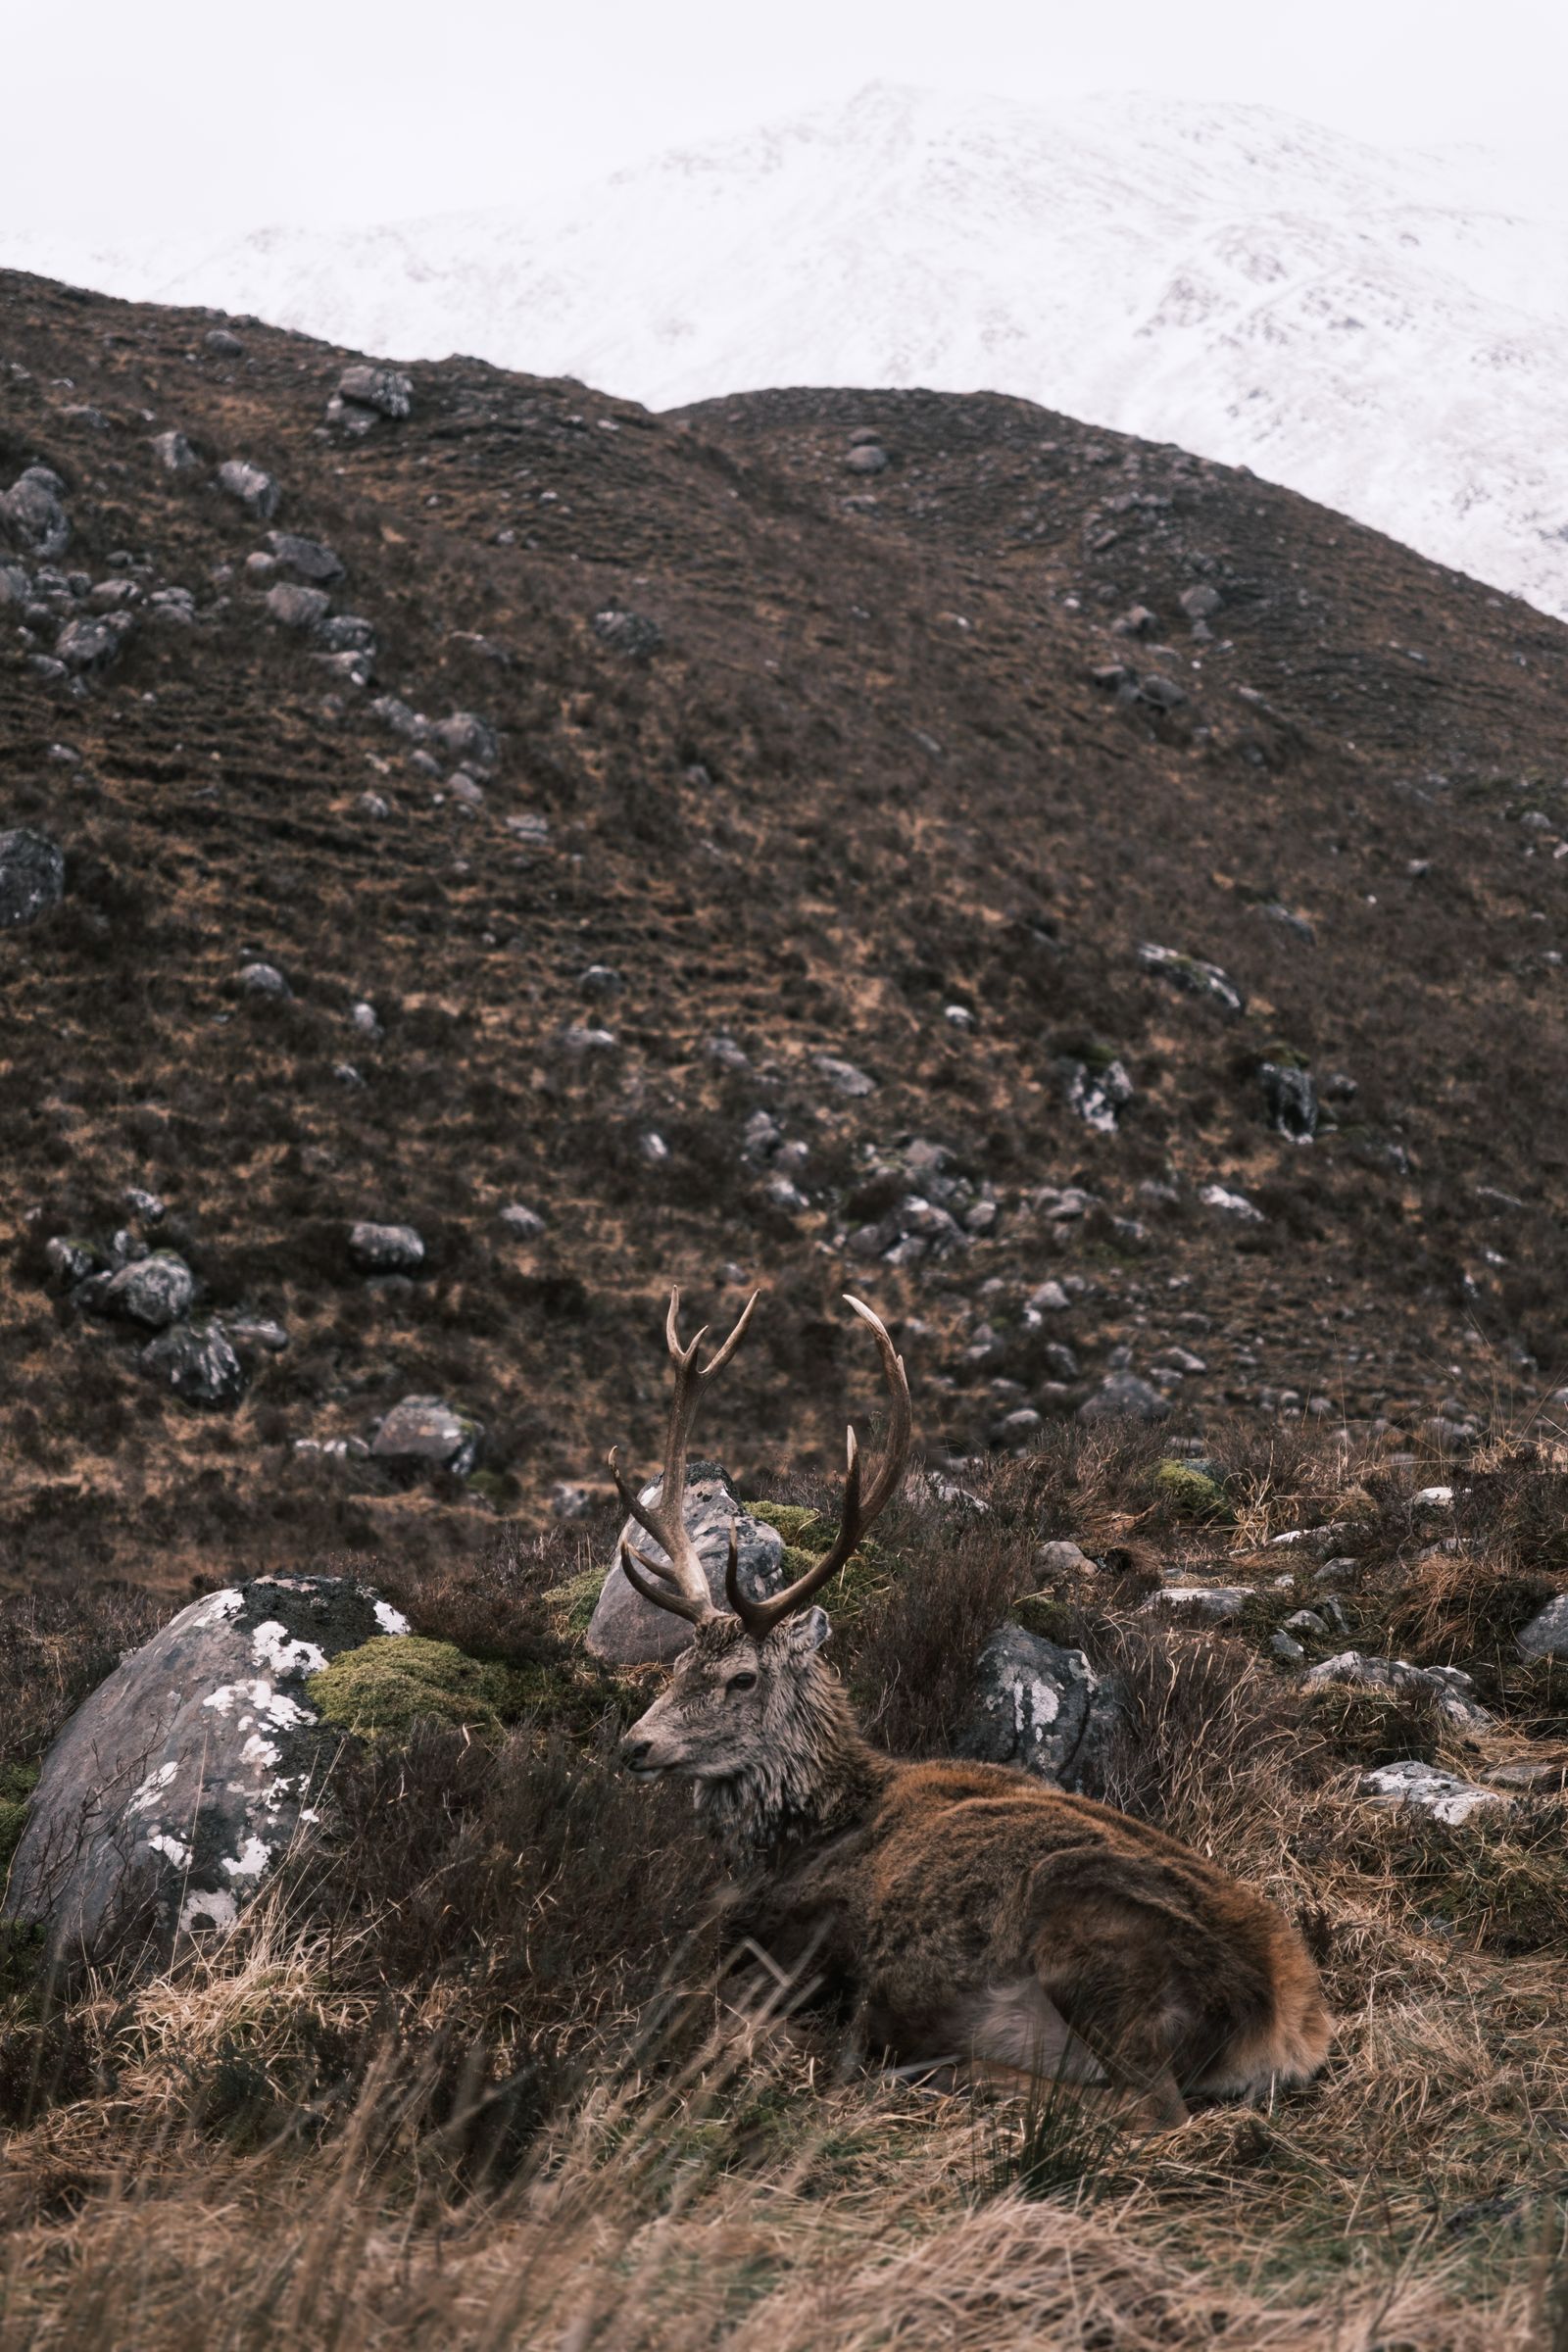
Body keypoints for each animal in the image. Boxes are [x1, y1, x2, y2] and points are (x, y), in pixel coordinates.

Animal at [610, 1288, 1332, 2128]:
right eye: (678, 1664)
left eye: (743, 1680)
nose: (635, 1745)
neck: (802, 1839)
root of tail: (1290, 2027)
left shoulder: (800, 1947)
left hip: (1085, 1921)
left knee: (1148, 2105)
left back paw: (944, 2067)